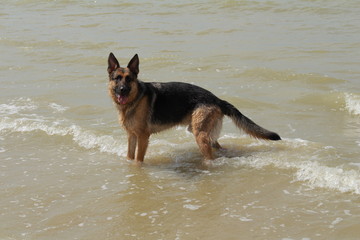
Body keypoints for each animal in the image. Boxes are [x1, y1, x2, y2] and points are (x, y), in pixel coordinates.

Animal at [107, 52, 282, 163]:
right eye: (117, 78)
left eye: (129, 79)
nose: (122, 90)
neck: (133, 101)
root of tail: (217, 99)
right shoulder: (132, 136)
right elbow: (130, 156)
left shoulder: (143, 137)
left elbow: (138, 160)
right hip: (204, 133)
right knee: (218, 147)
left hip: (200, 135)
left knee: (210, 156)